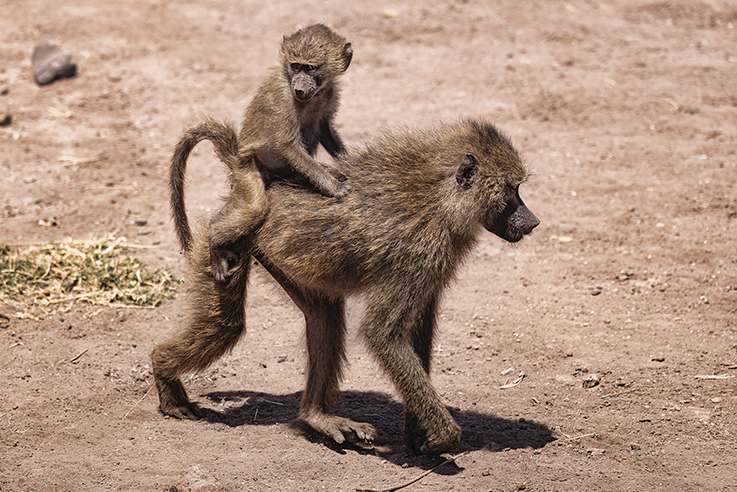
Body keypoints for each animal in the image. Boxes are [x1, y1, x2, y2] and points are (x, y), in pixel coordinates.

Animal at [151, 118, 540, 455]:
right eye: (512, 190)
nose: (533, 222)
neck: (440, 197)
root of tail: (251, 184)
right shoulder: (420, 252)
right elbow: (384, 334)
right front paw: (443, 438)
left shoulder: (433, 264)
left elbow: (417, 334)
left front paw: (417, 431)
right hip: (229, 241)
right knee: (226, 326)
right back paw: (164, 375)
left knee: (324, 317)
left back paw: (317, 417)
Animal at [169, 24, 354, 281]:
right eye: (295, 66)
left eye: (311, 68)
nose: (299, 88)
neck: (314, 94)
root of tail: (235, 156)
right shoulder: (282, 95)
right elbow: (287, 145)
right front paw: (336, 188)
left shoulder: (329, 92)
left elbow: (325, 129)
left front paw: (348, 160)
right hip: (246, 170)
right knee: (255, 208)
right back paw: (214, 242)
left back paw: (216, 223)